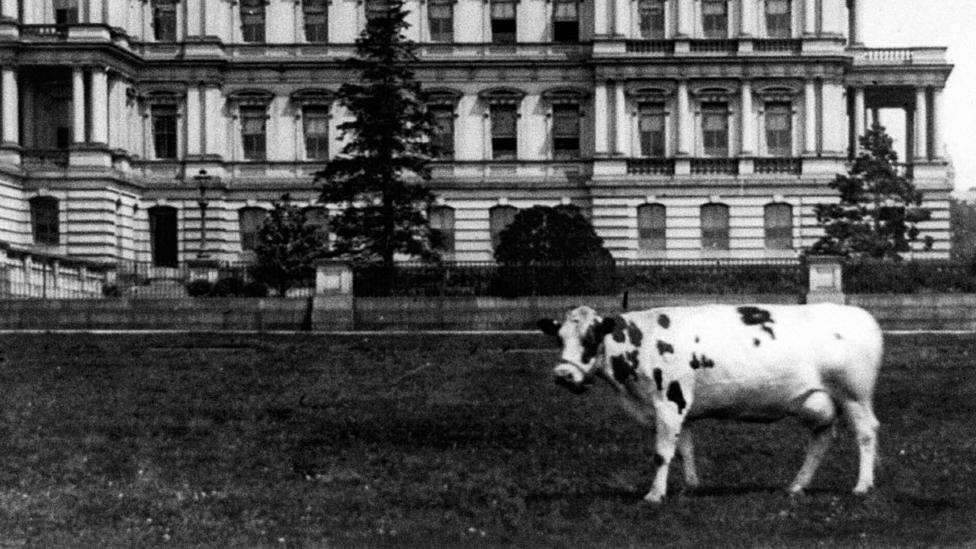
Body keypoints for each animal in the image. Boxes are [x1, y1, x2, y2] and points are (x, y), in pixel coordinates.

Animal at [540, 302, 884, 504]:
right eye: (559, 338)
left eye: (590, 338)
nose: (563, 375)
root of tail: (862, 315)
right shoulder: (681, 408)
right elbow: (684, 449)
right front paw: (690, 487)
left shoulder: (669, 401)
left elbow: (662, 453)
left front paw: (654, 494)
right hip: (817, 402)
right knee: (821, 439)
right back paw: (797, 486)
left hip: (855, 395)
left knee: (866, 434)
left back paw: (862, 485)